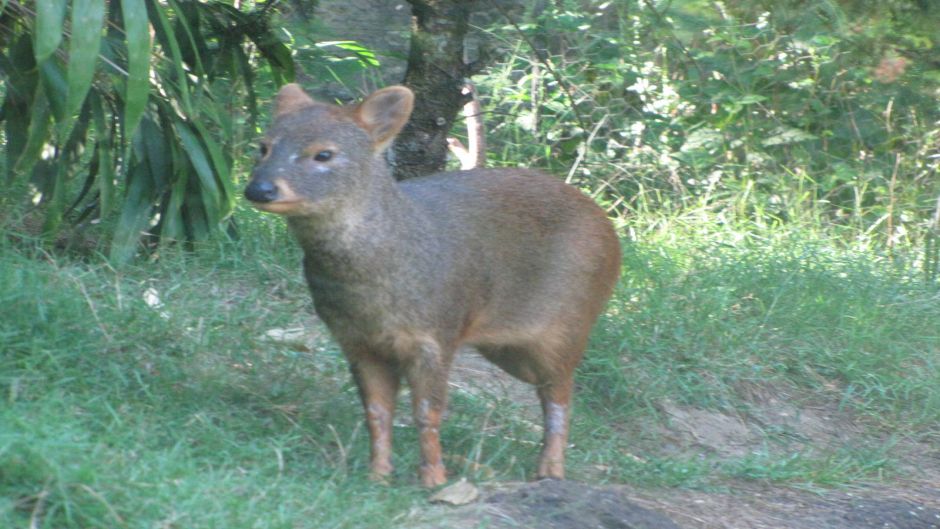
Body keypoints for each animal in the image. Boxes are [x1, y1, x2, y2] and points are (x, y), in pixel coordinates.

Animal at [246, 83, 620, 486]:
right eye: (263, 146)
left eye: (324, 153)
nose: (259, 189)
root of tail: (610, 230)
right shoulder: (357, 342)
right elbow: (377, 411)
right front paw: (378, 475)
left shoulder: (437, 335)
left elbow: (428, 411)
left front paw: (434, 479)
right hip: (507, 347)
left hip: (568, 326)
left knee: (561, 393)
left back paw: (550, 472)